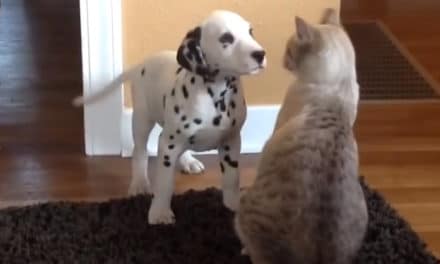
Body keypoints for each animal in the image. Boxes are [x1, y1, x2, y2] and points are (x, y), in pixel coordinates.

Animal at [73, 9, 264, 225]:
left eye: (250, 32)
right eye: (226, 38)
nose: (261, 54)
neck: (216, 95)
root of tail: (141, 64)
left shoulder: (231, 141)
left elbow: (232, 178)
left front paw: (234, 205)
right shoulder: (167, 144)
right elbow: (164, 183)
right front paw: (160, 213)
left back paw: (188, 161)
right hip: (142, 119)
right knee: (140, 152)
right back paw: (139, 183)